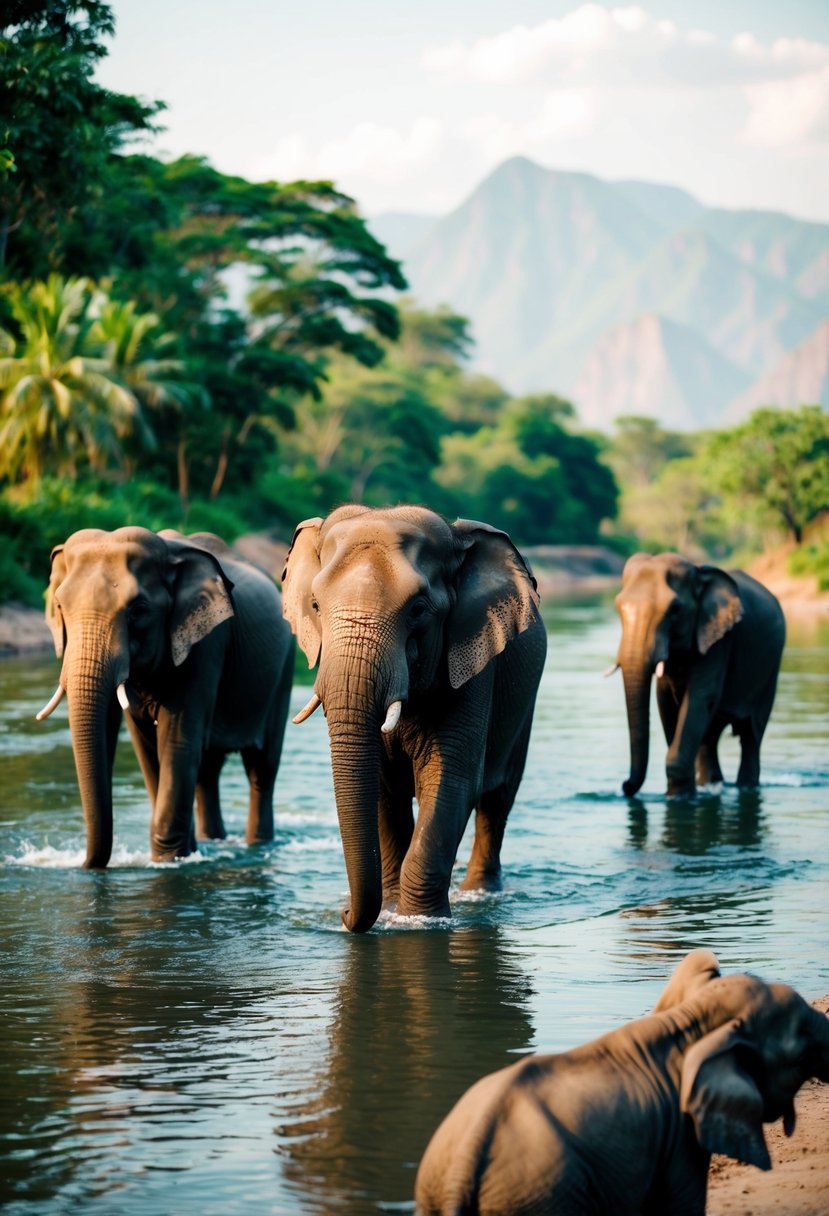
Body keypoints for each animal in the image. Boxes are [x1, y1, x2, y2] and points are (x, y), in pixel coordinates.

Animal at [37, 526, 295, 866]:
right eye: (60, 607)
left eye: (139, 610)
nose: (87, 865)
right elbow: (146, 746)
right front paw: (183, 854)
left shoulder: (206, 645)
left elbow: (176, 741)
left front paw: (169, 861)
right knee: (207, 772)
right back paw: (212, 841)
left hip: (283, 670)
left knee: (261, 767)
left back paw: (258, 845)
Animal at [281, 504, 547, 933]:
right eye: (316, 605)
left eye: (418, 610)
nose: (343, 913)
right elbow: (381, 790)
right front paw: (391, 915)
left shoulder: (472, 664)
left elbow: (451, 781)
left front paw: (418, 920)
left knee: (497, 801)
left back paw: (479, 894)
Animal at [611, 552, 785, 798]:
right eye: (618, 606)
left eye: (675, 609)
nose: (625, 785)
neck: (698, 573)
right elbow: (666, 702)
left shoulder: (720, 641)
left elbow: (700, 697)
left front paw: (679, 797)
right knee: (710, 737)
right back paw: (711, 785)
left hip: (770, 671)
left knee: (751, 734)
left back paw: (744, 787)